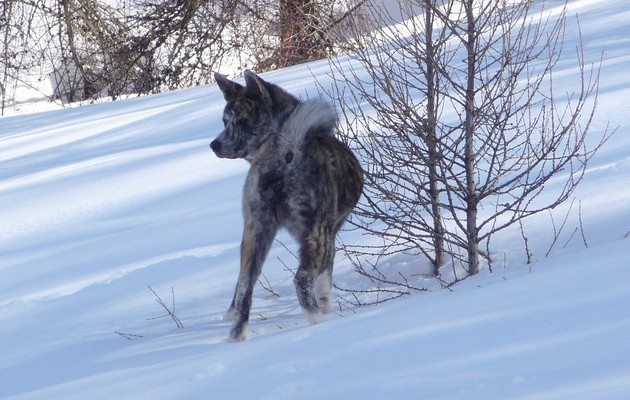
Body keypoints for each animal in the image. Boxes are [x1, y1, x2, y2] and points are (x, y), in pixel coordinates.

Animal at [210, 71, 362, 340]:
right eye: (226, 121)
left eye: (238, 122)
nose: (214, 145)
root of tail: (286, 149)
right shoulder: (331, 237)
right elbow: (325, 282)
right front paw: (327, 308)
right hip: (317, 235)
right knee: (302, 280)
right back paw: (318, 321)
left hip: (256, 233)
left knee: (244, 289)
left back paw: (236, 337)